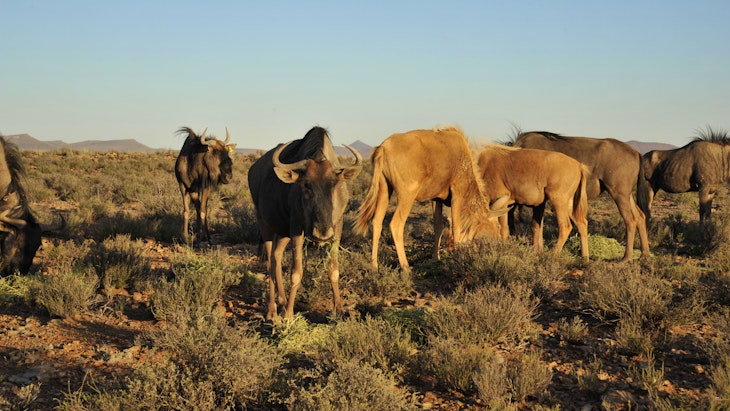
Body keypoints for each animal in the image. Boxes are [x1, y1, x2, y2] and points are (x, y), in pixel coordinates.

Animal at [248, 126, 362, 320]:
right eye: (306, 184)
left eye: (333, 184)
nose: (321, 233)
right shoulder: (297, 229)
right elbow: (296, 272)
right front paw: (288, 315)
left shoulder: (336, 228)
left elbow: (333, 270)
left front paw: (339, 310)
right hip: (265, 225)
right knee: (270, 262)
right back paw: (272, 310)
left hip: (282, 233)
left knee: (277, 257)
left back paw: (282, 300)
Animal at [353, 126, 509, 272]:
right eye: (497, 225)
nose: (497, 244)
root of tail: (384, 148)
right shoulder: (457, 194)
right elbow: (456, 226)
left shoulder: (436, 199)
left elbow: (438, 227)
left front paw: (436, 258)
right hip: (406, 196)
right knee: (396, 224)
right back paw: (405, 267)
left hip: (384, 190)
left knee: (377, 222)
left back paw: (374, 265)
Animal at [513, 131, 650, 262]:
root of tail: (636, 153)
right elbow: (538, 225)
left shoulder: (540, 202)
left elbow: (535, 225)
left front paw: (536, 251)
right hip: (627, 196)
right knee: (640, 216)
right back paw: (644, 255)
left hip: (619, 194)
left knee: (630, 219)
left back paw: (626, 257)